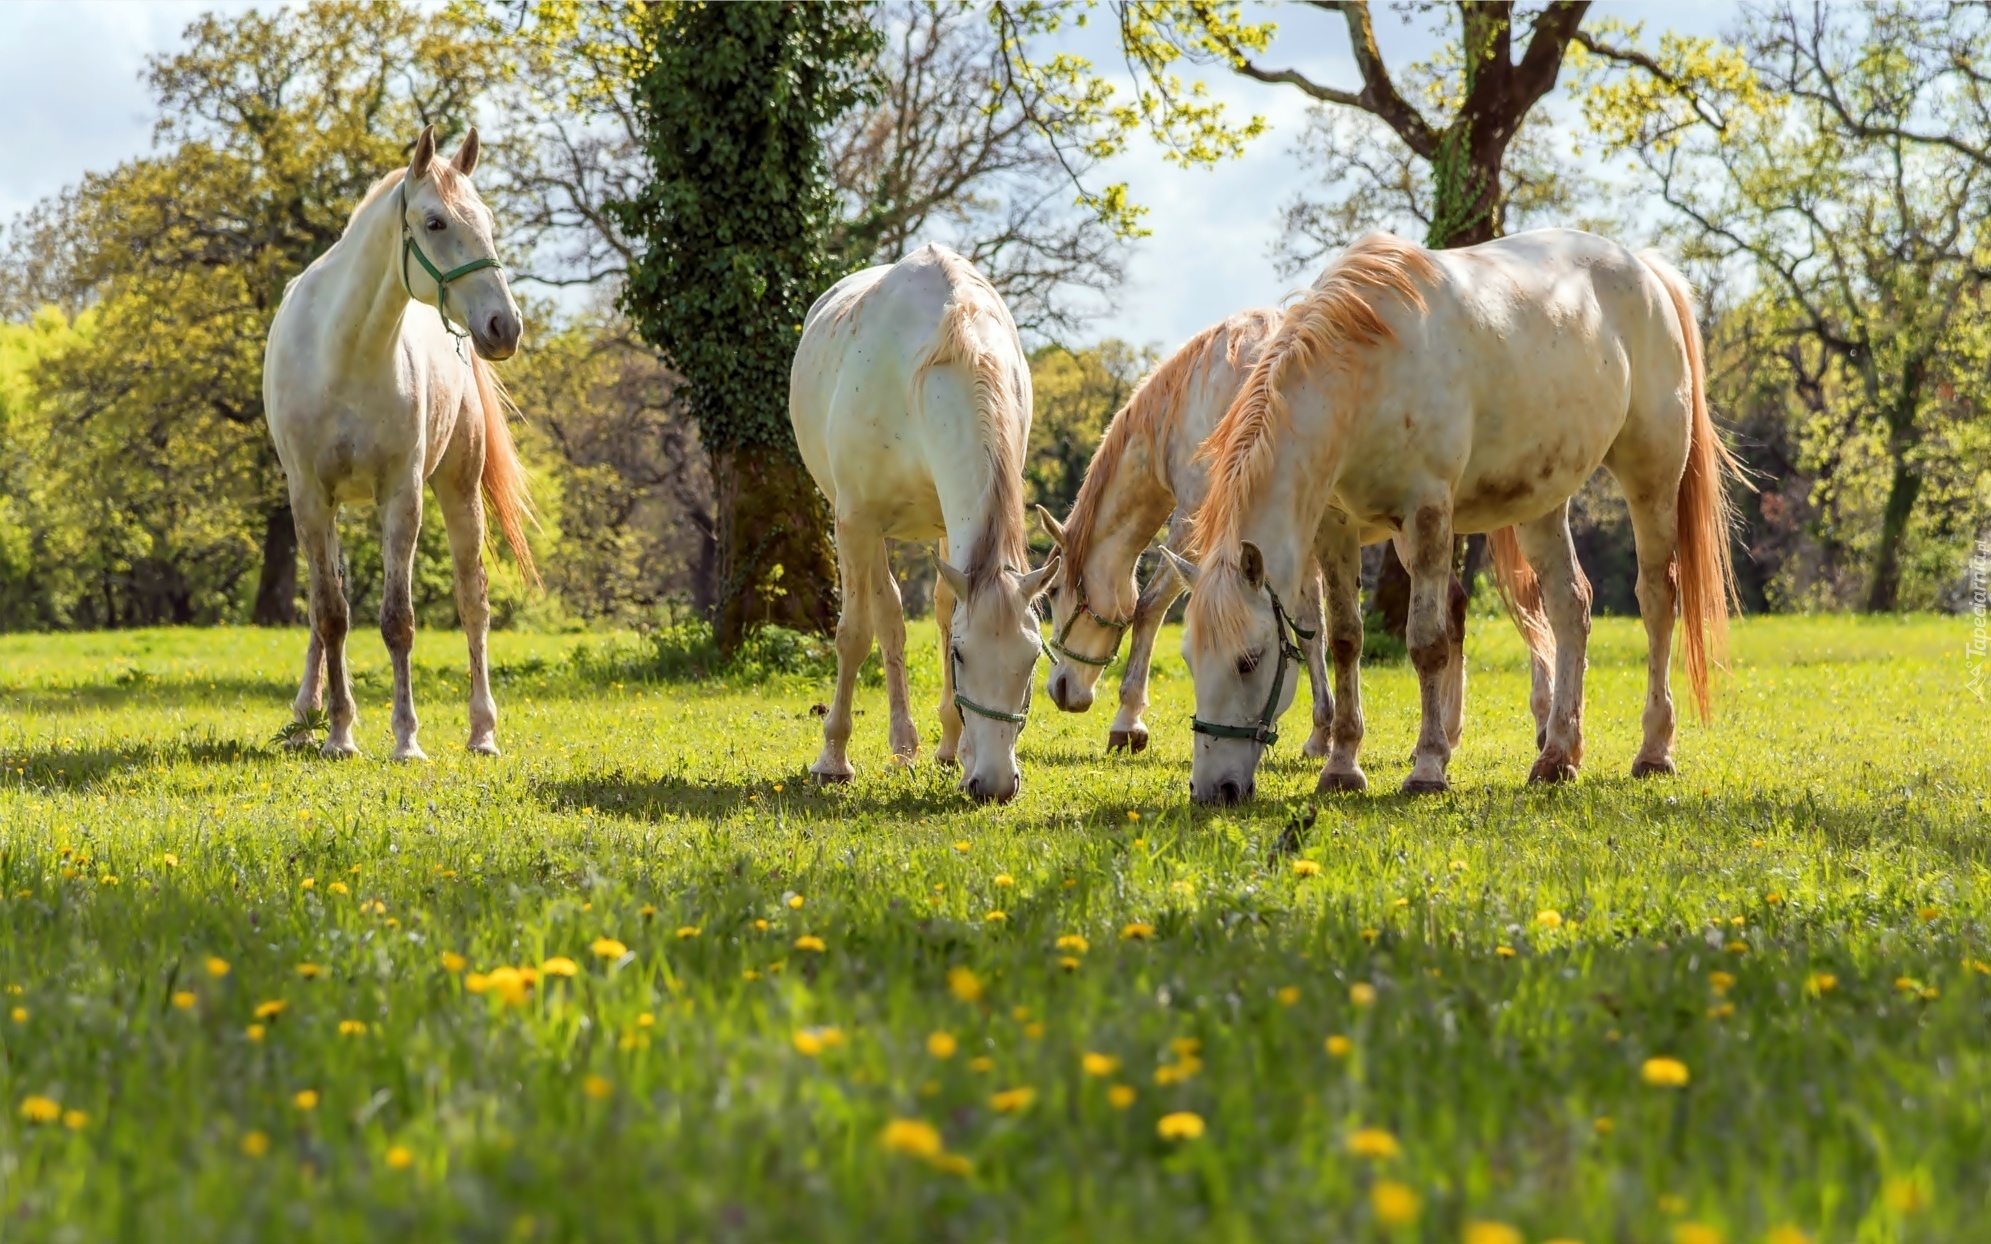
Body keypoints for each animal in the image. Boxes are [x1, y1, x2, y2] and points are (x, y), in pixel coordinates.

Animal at [264, 126, 533, 756]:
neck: (344, 353)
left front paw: (405, 738)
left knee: (473, 602)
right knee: (325, 604)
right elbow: (330, 615)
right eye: (435, 222)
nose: (504, 326)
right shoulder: (309, 498)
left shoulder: (401, 497)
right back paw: (306, 714)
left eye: (487, 219)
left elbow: (398, 620)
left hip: (459, 490)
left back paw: (482, 731)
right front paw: (338, 732)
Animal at [788, 243, 1059, 804]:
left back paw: (938, 747)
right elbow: (854, 634)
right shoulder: (855, 523)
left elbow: (944, 611)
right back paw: (902, 745)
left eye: (1032, 659)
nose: (995, 785)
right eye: (961, 657)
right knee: (887, 616)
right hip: (867, 531)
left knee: (927, 607)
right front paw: (833, 761)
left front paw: (958, 750)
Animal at [1162, 226, 1736, 800]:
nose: (1212, 790)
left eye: (1249, 660)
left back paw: (1654, 750)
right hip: (1542, 505)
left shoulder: (1428, 513)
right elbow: (1346, 639)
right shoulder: (1335, 528)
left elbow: (1428, 642)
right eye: (1191, 659)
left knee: (1657, 600)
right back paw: (1557, 754)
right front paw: (1342, 765)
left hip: (1651, 478)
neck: (1369, 373)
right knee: (1571, 606)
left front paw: (1428, 766)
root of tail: (1642, 266)